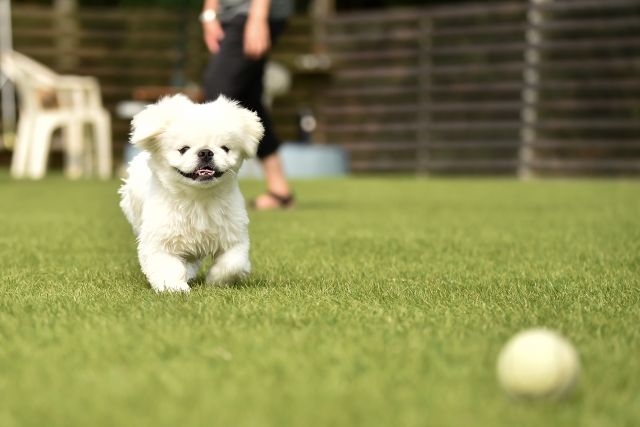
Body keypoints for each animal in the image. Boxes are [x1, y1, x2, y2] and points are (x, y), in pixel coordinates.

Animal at [117, 95, 262, 292]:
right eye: (184, 149)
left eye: (225, 148)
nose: (206, 152)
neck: (199, 200)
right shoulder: (159, 241)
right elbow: (169, 267)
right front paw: (174, 288)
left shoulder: (234, 237)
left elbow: (233, 264)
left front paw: (215, 281)